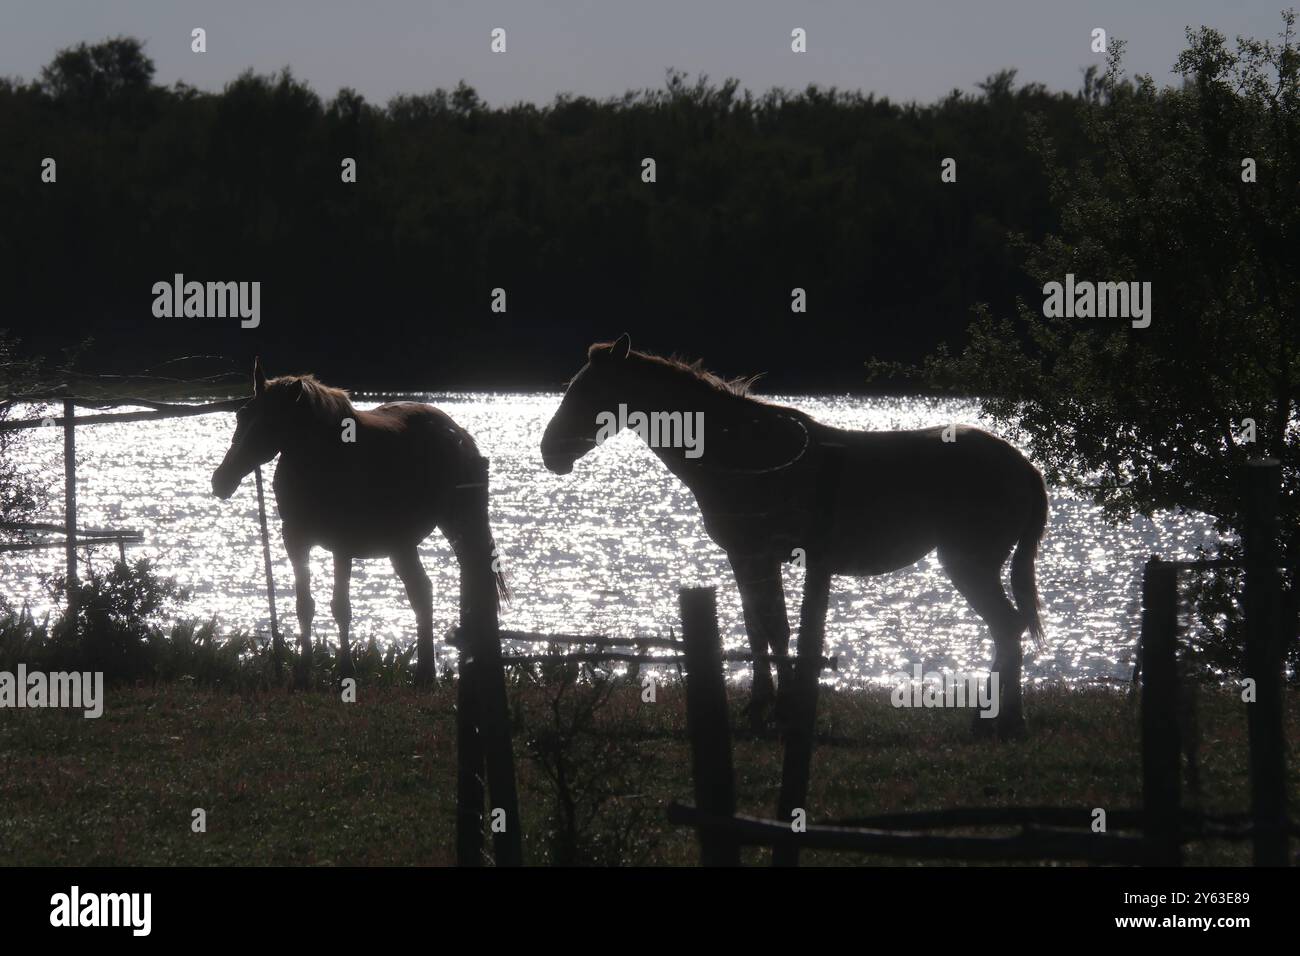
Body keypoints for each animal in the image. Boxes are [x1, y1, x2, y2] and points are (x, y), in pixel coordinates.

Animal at [210, 361, 504, 686]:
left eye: (272, 422)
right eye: (242, 415)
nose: (221, 480)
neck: (323, 460)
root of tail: (458, 434)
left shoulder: (342, 545)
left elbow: (341, 608)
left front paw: (345, 672)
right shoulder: (296, 539)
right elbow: (304, 606)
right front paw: (302, 675)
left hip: (459, 525)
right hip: (401, 544)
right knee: (421, 593)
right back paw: (424, 675)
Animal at [538, 335, 1045, 738]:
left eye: (588, 392)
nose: (549, 452)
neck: (742, 453)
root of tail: (1024, 468)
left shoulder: (755, 556)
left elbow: (775, 629)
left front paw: (776, 709)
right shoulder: (749, 559)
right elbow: (760, 630)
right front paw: (763, 706)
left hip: (968, 565)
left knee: (1007, 627)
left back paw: (1003, 719)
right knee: (1009, 629)